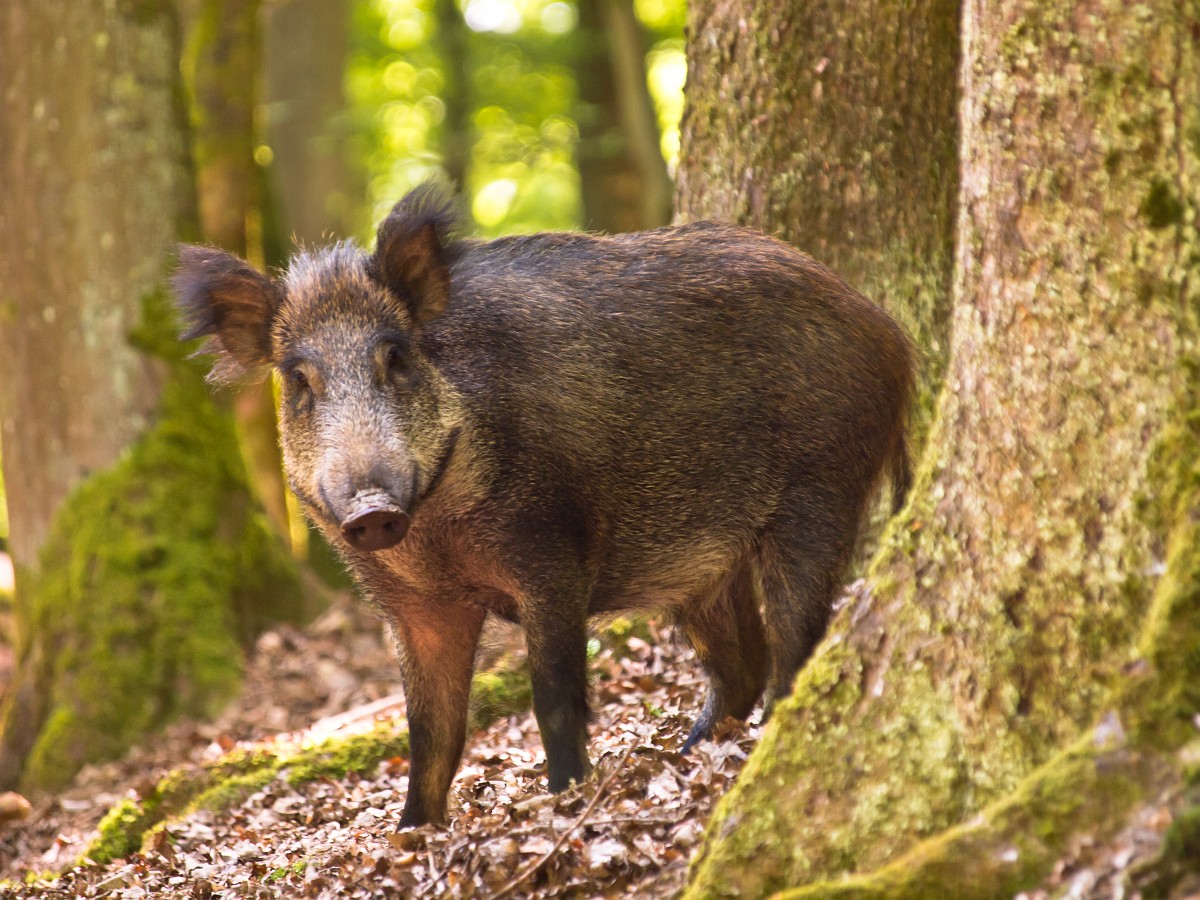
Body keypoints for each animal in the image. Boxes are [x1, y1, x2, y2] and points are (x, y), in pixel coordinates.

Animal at [173, 184, 914, 827]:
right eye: (299, 380)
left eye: (395, 356)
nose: (371, 509)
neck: (438, 538)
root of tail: (889, 332)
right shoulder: (412, 606)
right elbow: (430, 733)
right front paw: (412, 832)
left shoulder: (553, 553)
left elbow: (553, 697)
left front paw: (563, 801)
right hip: (702, 562)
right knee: (741, 666)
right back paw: (686, 753)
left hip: (820, 490)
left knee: (795, 643)